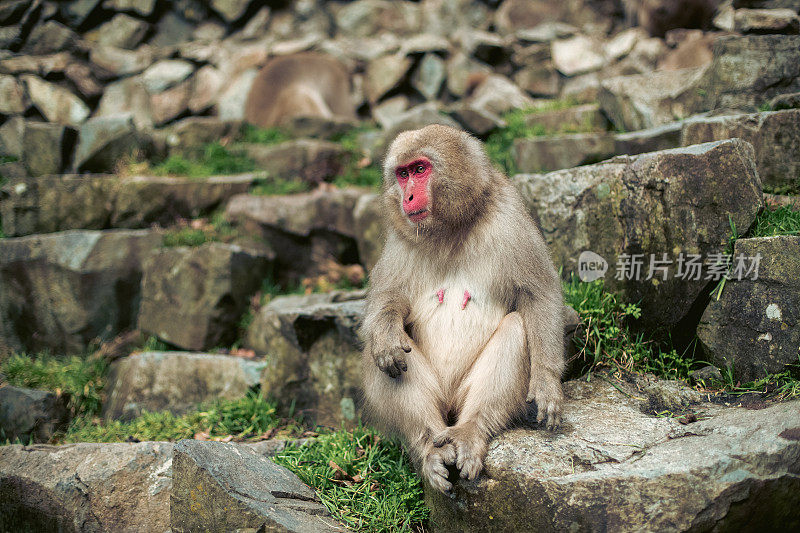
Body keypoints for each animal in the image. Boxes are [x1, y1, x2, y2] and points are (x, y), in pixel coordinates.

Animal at [360, 123, 564, 490]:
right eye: (401, 174)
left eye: (420, 169)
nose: (407, 197)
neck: (452, 230)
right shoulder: (400, 239)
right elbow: (387, 303)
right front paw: (385, 334)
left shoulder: (510, 220)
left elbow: (539, 295)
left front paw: (546, 381)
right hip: (440, 406)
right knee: (382, 354)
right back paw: (429, 445)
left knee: (517, 326)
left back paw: (472, 430)